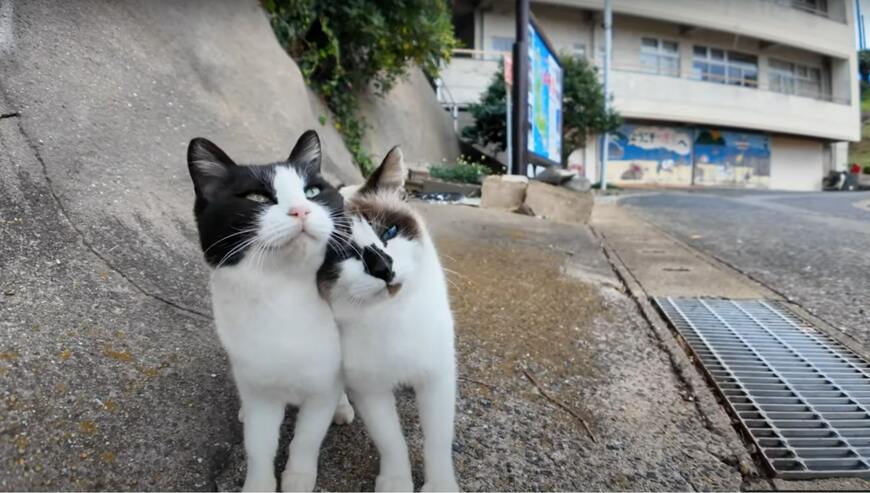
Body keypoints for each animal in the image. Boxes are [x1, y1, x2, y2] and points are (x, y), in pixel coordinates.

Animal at [189, 132, 356, 492]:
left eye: (313, 191)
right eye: (256, 197)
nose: (301, 209)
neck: (284, 296)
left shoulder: (322, 386)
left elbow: (307, 438)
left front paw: (298, 479)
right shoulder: (260, 389)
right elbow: (259, 444)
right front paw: (259, 484)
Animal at [322, 148, 460, 490]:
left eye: (390, 232)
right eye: (343, 254)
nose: (384, 268)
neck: (390, 316)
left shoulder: (437, 376)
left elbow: (437, 441)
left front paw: (439, 486)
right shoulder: (370, 389)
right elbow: (392, 442)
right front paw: (397, 482)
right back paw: (340, 408)